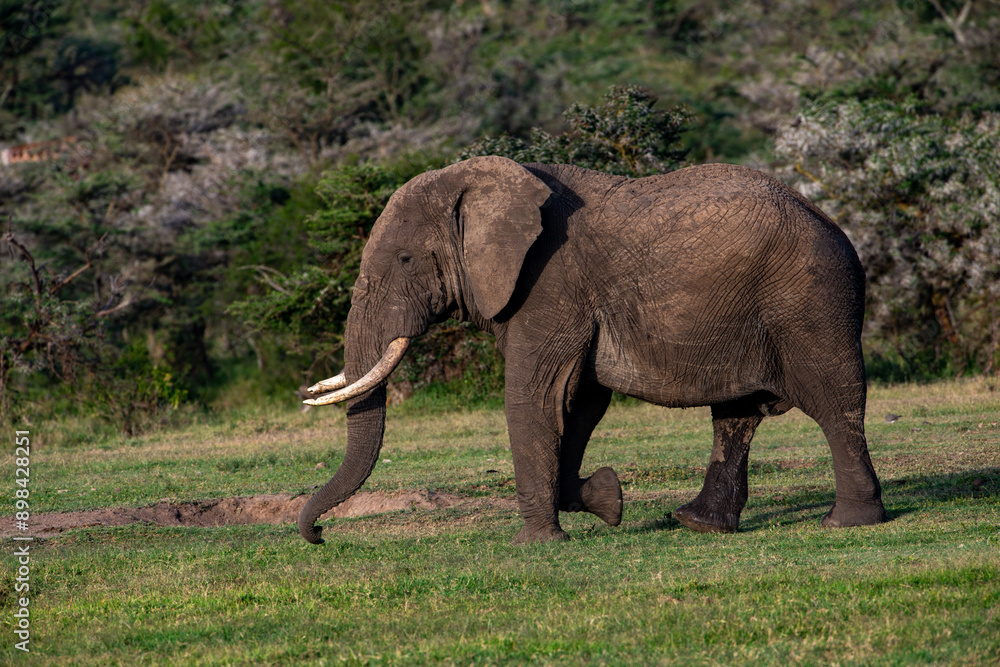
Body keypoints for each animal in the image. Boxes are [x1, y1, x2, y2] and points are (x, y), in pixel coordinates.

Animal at [297, 156, 888, 545]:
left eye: (404, 260)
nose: (320, 535)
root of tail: (836, 226)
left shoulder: (550, 283)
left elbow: (537, 396)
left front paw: (538, 545)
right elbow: (577, 403)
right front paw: (608, 499)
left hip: (811, 302)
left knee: (833, 403)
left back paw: (847, 523)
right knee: (735, 416)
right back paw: (697, 523)